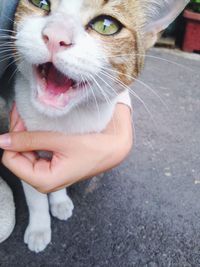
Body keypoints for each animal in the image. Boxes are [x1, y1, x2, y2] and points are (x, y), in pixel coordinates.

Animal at [8, 0, 188, 253]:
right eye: (40, 3)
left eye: (106, 25)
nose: (55, 36)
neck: (63, 122)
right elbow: (35, 196)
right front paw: (39, 228)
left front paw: (59, 199)